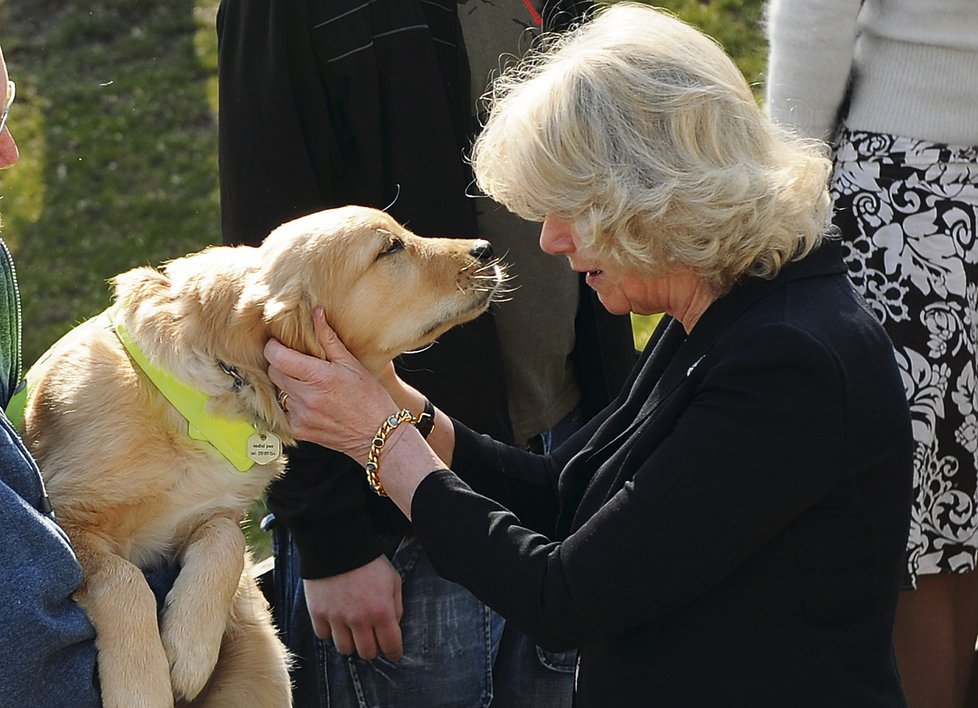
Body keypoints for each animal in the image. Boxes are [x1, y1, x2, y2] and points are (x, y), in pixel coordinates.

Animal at [17, 202, 504, 704]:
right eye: (389, 248)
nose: (486, 249)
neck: (216, 384)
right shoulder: (70, 518)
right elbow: (123, 579)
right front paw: (141, 686)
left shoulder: (216, 513)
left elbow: (227, 544)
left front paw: (189, 650)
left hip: (263, 662)